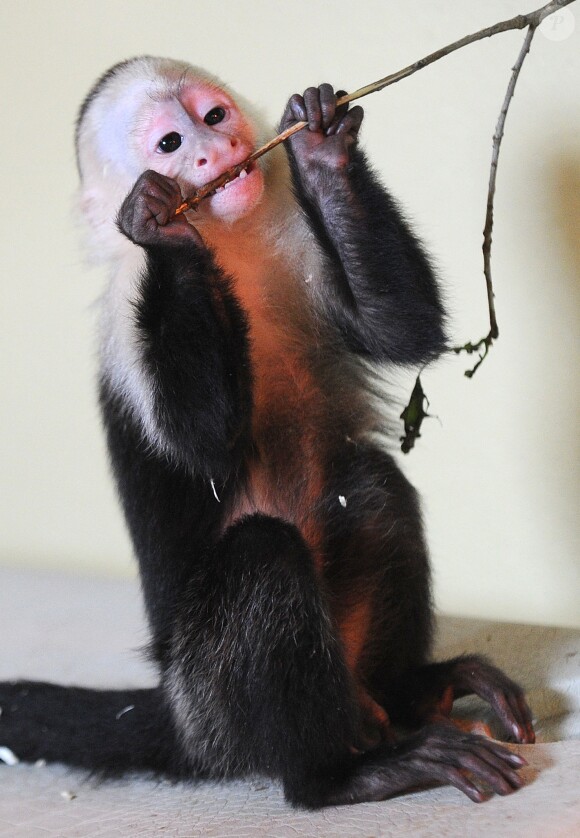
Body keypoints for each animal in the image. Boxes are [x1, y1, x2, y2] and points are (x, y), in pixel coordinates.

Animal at [0, 56, 535, 808]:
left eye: (214, 115)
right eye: (171, 144)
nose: (214, 150)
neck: (231, 242)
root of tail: (173, 715)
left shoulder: (300, 245)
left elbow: (401, 331)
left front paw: (320, 150)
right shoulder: (126, 315)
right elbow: (204, 438)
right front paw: (162, 226)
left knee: (373, 486)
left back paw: (410, 692)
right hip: (209, 704)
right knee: (263, 555)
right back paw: (337, 775)